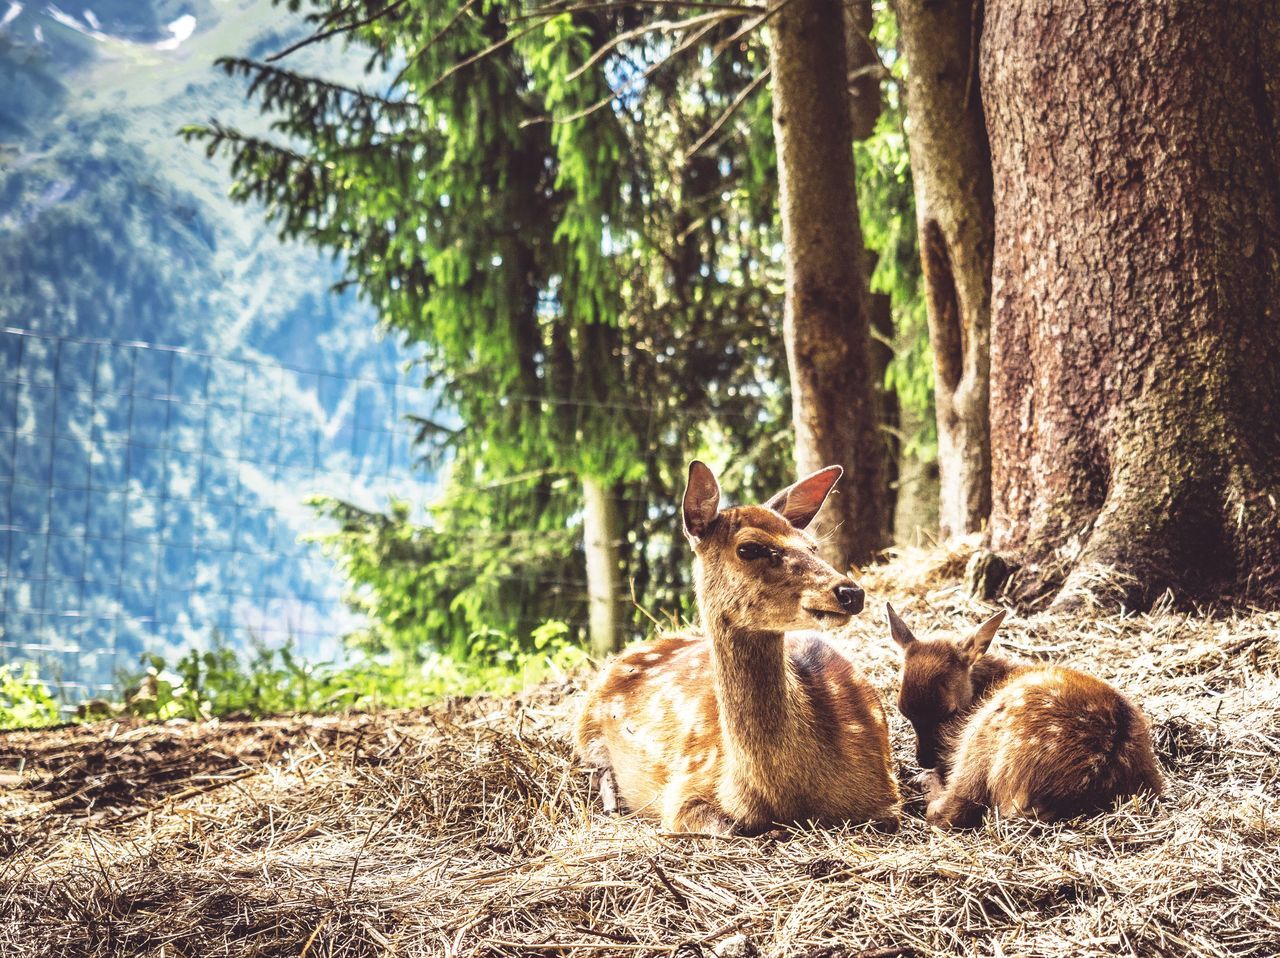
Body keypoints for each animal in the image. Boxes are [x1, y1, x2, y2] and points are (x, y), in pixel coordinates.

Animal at [576, 461, 896, 829]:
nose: (850, 592)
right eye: (749, 548)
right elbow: (722, 827)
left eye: (812, 546)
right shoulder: (685, 788)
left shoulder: (885, 793)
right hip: (585, 726)